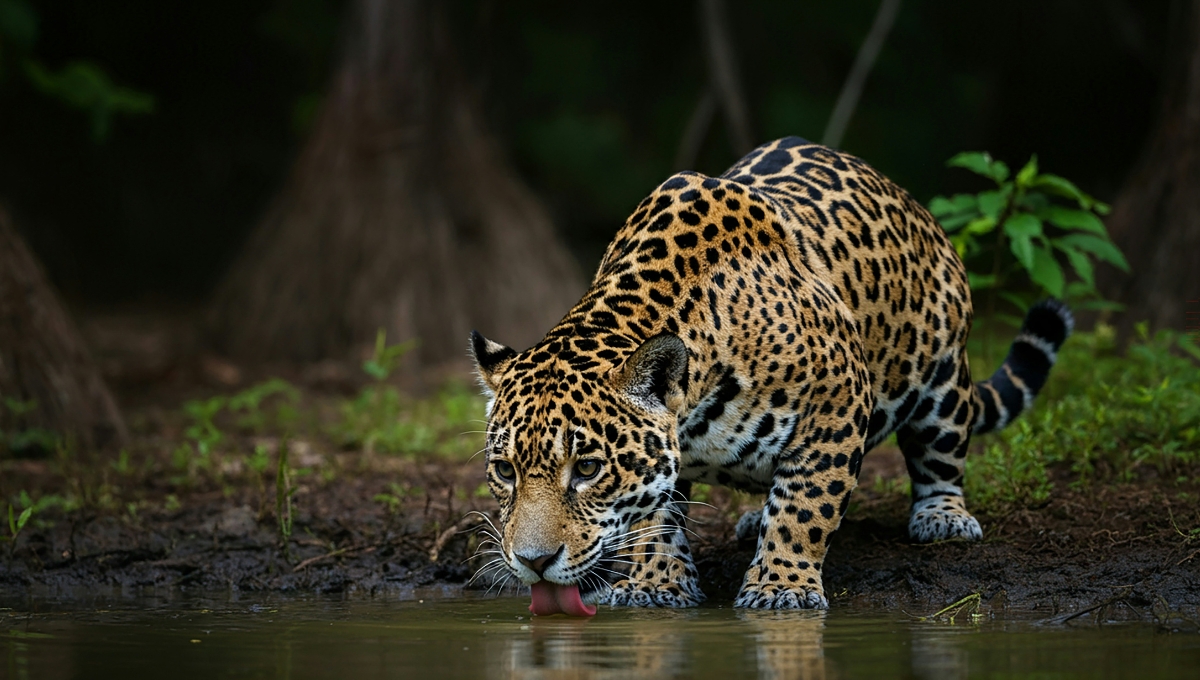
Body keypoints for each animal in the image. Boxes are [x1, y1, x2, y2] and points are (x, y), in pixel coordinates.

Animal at [470, 137, 1073, 611]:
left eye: (589, 469)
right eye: (503, 471)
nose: (533, 561)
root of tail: (911, 204)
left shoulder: (838, 406)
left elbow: (808, 507)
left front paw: (781, 587)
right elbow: (652, 515)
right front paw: (655, 583)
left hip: (942, 374)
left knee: (940, 453)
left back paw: (943, 517)